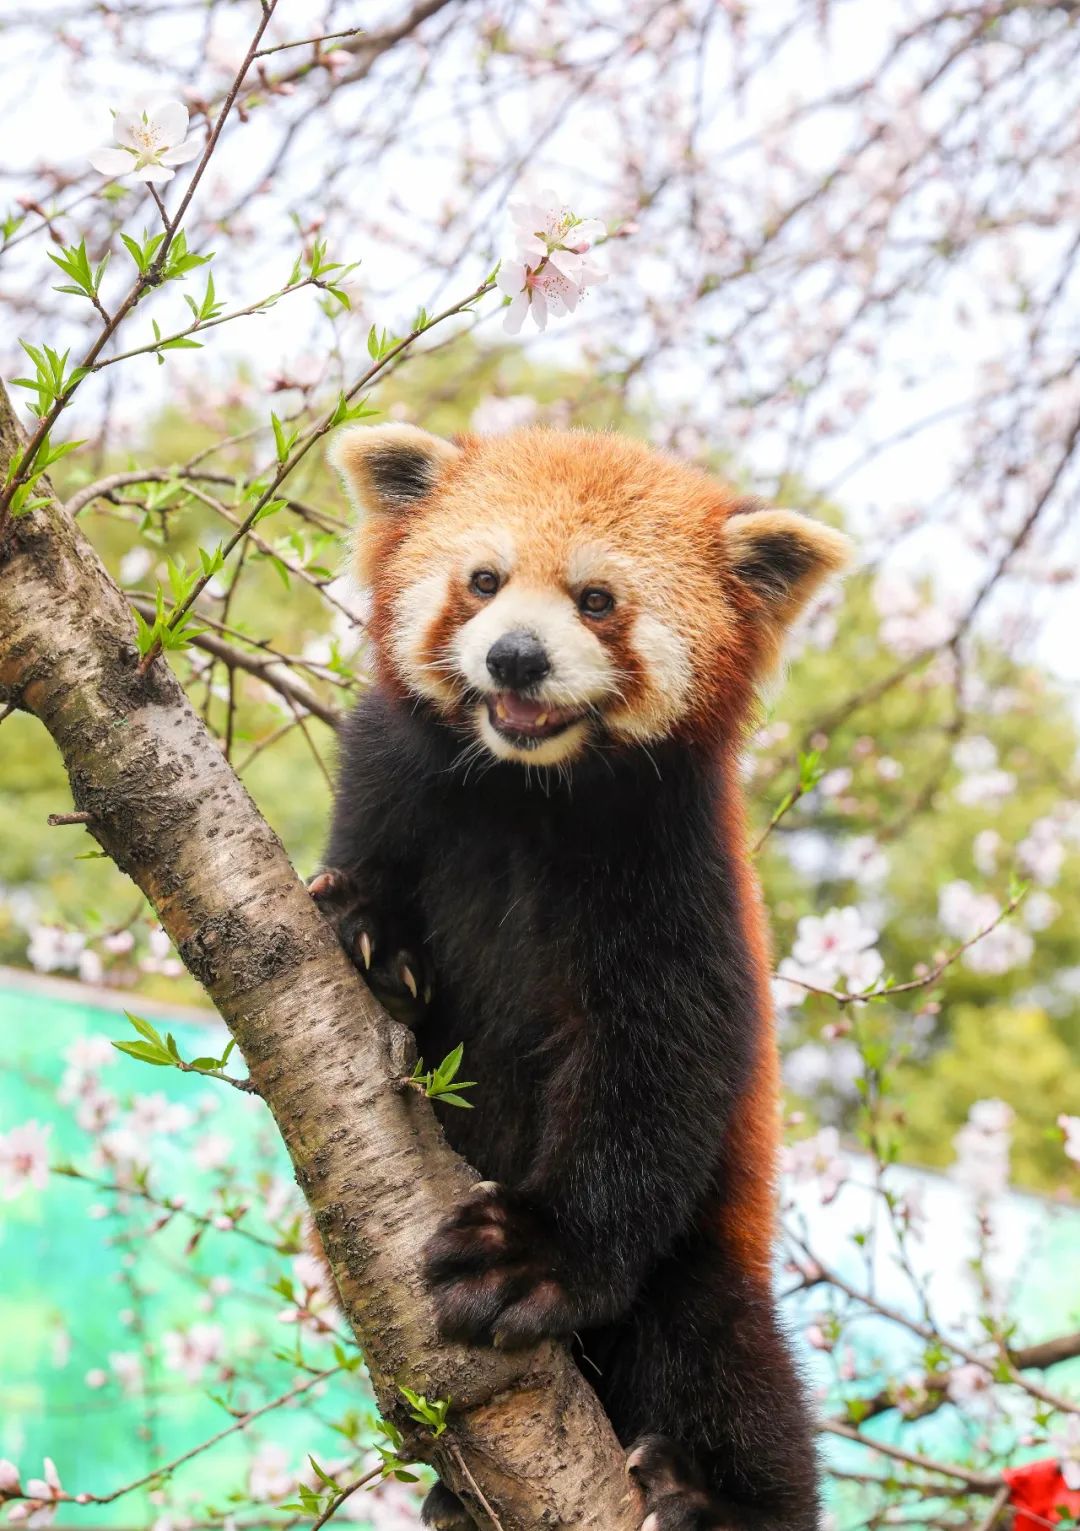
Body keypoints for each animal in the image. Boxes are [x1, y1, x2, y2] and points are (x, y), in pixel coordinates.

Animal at [312, 422, 851, 1531]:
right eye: (483, 580)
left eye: (596, 599)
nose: (516, 653)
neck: (528, 790)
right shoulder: (391, 776)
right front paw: (372, 938)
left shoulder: (673, 869)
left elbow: (654, 1076)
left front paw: (534, 1255)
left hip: (707, 1262)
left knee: (726, 1359)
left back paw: (710, 1497)